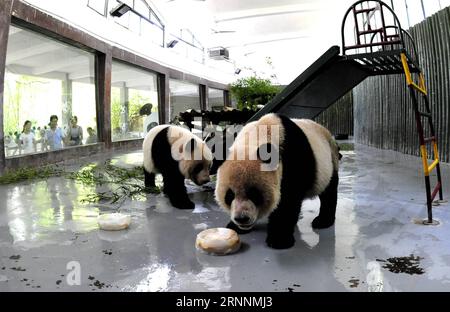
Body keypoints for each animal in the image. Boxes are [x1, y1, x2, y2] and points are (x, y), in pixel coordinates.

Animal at [214, 113, 338, 250]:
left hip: (329, 160)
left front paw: (279, 239)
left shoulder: (293, 160)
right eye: (229, 195)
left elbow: (288, 199)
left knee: (329, 191)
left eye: (254, 194)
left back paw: (322, 221)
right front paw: (234, 227)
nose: (242, 219)